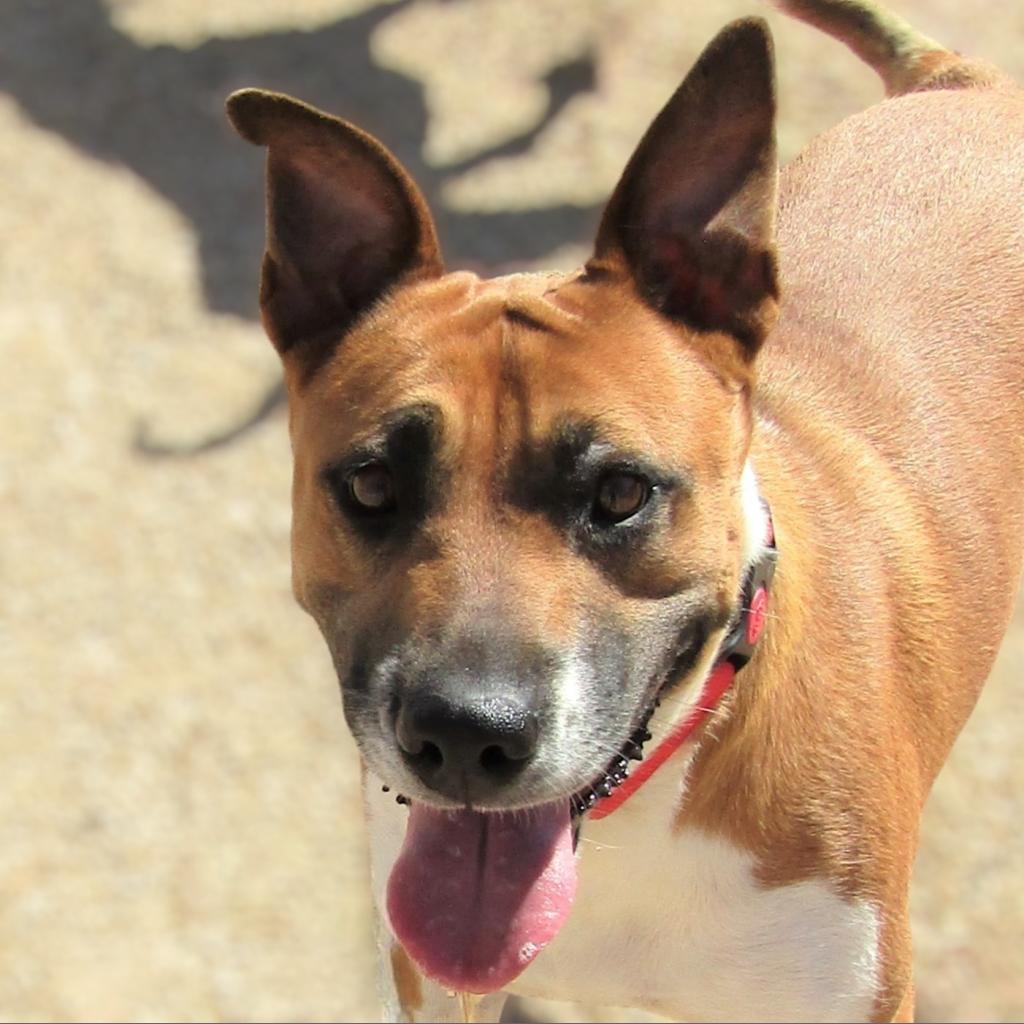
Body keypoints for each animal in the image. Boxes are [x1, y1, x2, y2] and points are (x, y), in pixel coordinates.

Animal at [226, 2, 1024, 1015]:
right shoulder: (429, 979)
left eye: (621, 493)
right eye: (371, 485)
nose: (464, 737)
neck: (647, 793)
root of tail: (962, 82)